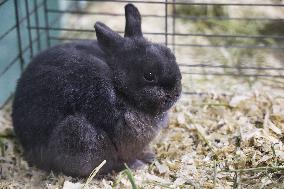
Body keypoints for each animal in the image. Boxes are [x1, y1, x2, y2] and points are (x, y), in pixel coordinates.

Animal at [11, 3, 182, 177]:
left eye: (170, 53)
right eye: (149, 75)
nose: (175, 93)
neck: (119, 87)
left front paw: (148, 156)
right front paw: (136, 164)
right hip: (76, 132)